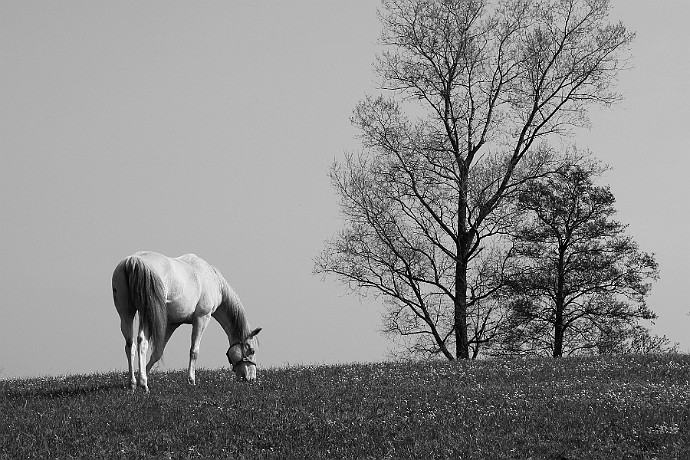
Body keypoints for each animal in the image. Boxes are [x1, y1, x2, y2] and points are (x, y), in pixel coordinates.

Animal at [110, 252, 260, 392]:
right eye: (251, 350)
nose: (251, 378)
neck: (214, 281)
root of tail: (134, 261)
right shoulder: (202, 318)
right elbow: (194, 351)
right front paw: (191, 380)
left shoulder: (171, 324)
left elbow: (158, 352)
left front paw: (144, 373)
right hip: (146, 315)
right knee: (142, 342)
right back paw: (143, 383)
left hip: (126, 314)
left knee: (130, 345)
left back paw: (133, 383)